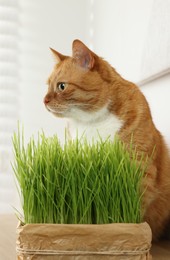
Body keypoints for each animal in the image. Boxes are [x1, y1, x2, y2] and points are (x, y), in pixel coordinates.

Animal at [44, 39, 170, 241]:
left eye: (61, 86)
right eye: (47, 86)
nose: (44, 100)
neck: (92, 122)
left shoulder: (139, 165)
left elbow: (136, 205)